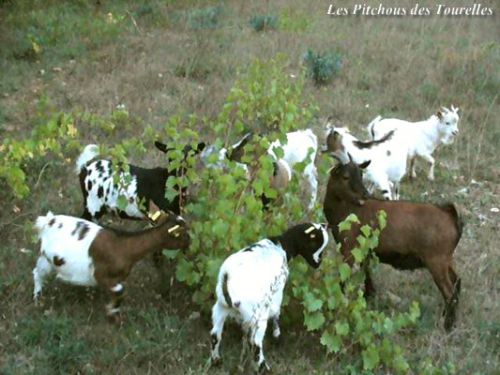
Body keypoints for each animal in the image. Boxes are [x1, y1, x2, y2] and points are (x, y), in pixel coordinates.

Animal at [32, 207, 189, 322]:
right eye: (183, 234)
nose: (189, 244)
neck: (123, 247)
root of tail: (48, 221)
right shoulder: (100, 274)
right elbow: (120, 291)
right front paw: (112, 311)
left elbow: (119, 292)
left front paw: (114, 310)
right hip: (47, 259)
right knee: (37, 273)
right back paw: (37, 297)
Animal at [210, 223, 330, 374]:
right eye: (315, 244)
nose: (319, 263)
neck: (281, 246)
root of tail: (227, 277)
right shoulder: (277, 292)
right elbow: (276, 312)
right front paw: (277, 336)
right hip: (257, 316)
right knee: (255, 343)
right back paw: (264, 368)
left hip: (220, 308)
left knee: (215, 334)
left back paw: (216, 360)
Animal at [322, 156, 462, 332]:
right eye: (345, 176)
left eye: (361, 174)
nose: (365, 195)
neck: (346, 210)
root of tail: (450, 214)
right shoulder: (365, 250)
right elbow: (367, 274)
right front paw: (370, 296)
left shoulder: (349, 249)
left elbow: (344, 278)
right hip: (446, 260)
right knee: (457, 281)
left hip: (436, 260)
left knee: (450, 293)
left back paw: (447, 326)